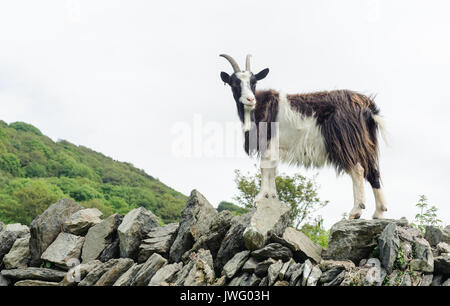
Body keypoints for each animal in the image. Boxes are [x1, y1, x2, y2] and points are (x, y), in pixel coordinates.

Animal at [221, 53, 386, 219]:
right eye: (234, 83)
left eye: (253, 82)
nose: (250, 99)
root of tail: (366, 105)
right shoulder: (275, 146)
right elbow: (272, 169)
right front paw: (272, 198)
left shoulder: (268, 143)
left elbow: (265, 167)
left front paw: (259, 199)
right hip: (365, 141)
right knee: (373, 170)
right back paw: (379, 212)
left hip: (346, 141)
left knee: (358, 170)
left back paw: (356, 211)